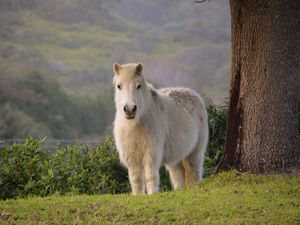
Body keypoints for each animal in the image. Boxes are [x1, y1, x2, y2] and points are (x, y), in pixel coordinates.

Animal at [112, 62, 209, 194]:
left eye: (138, 86)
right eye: (119, 86)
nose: (130, 109)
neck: (136, 124)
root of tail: (195, 95)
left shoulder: (151, 153)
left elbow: (150, 175)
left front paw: (152, 194)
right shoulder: (131, 156)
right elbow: (136, 179)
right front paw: (138, 195)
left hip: (195, 152)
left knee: (194, 172)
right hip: (176, 158)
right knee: (178, 176)